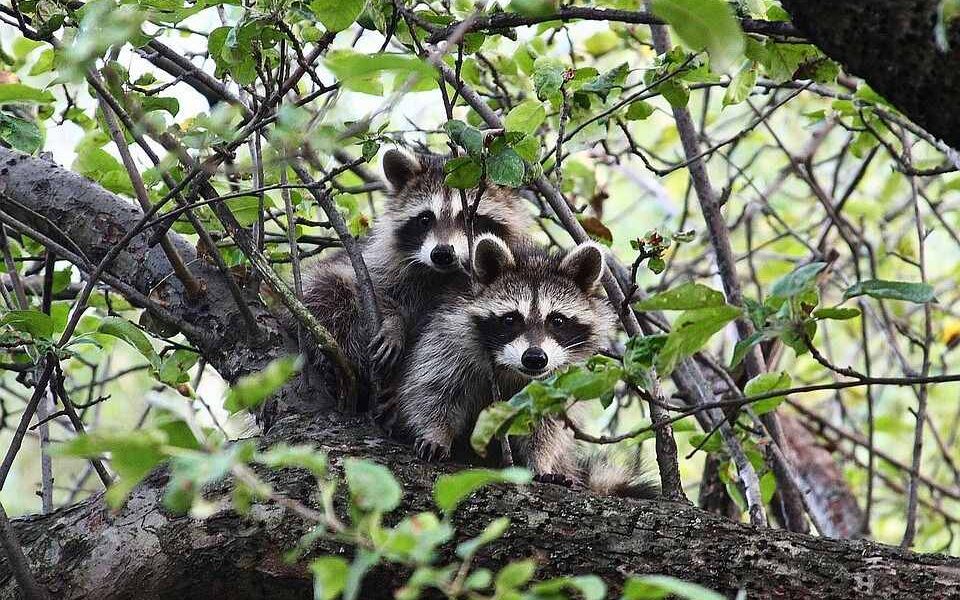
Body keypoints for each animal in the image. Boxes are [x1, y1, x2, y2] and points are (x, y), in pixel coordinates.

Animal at [302, 148, 532, 406]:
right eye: (425, 219)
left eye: (469, 218)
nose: (442, 254)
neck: (442, 275)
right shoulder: (376, 262)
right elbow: (365, 285)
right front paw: (393, 322)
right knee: (328, 291)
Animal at [390, 234, 660, 496]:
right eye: (511, 319)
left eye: (557, 320)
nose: (535, 358)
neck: (512, 370)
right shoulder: (450, 337)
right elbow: (433, 389)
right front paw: (436, 432)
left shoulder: (560, 377)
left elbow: (547, 424)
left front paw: (540, 461)